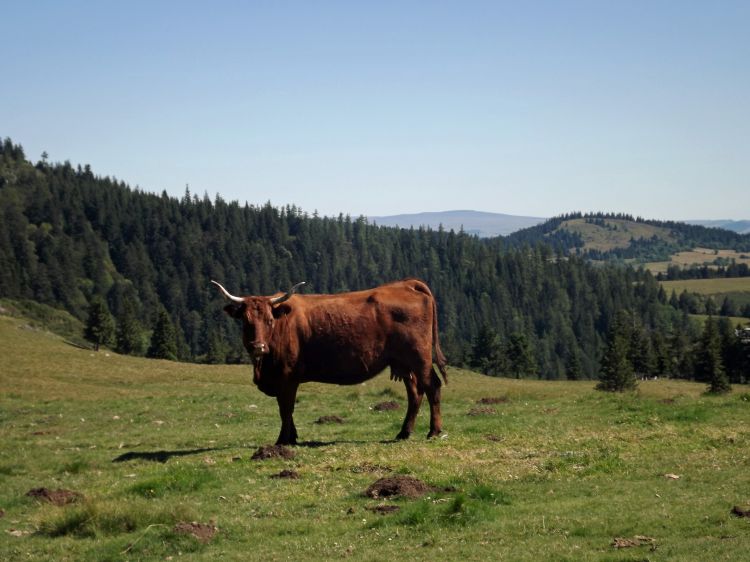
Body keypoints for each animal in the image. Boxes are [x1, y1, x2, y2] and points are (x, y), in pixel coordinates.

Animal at [212, 278, 446, 444]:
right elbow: (285, 408)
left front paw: (282, 441)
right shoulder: (281, 380)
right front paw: (292, 437)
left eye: (270, 320)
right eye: (246, 322)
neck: (264, 368)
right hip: (404, 363)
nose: (258, 347)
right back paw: (404, 433)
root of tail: (406, 284)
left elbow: (286, 408)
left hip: (420, 358)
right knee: (415, 393)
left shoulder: (287, 376)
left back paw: (433, 432)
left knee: (432, 386)